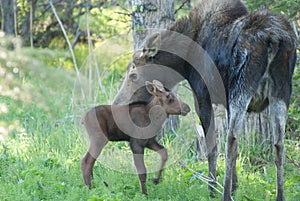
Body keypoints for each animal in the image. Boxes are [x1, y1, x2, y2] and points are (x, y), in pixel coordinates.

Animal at [113, 0, 298, 199]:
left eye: (133, 74)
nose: (117, 104)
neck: (184, 62)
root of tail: (274, 38)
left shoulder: (202, 96)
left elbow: (211, 145)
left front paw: (213, 189)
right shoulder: (225, 102)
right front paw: (235, 186)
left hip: (242, 86)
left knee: (232, 140)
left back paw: (225, 195)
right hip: (282, 91)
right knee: (278, 144)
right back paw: (279, 195)